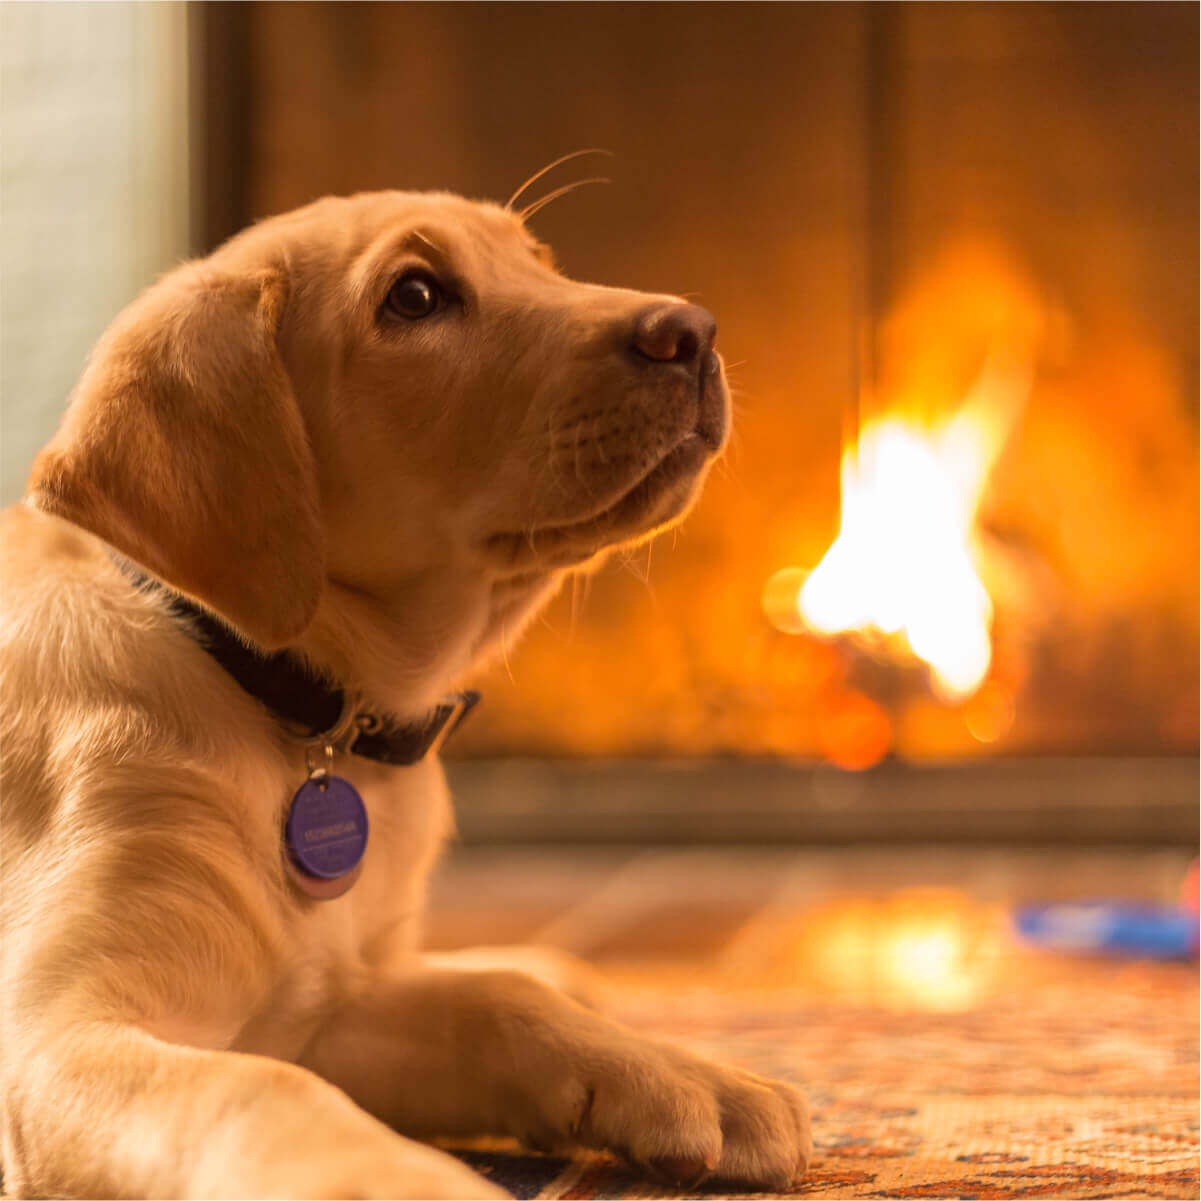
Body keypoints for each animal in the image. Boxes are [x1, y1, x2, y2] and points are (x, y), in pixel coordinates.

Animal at [0, 192, 811, 1196]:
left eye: (538, 261)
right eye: (414, 297)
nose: (692, 330)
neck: (289, 701)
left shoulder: (325, 1010)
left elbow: (492, 1001)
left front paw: (687, 1074)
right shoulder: (57, 1041)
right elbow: (260, 1088)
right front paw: (401, 1176)